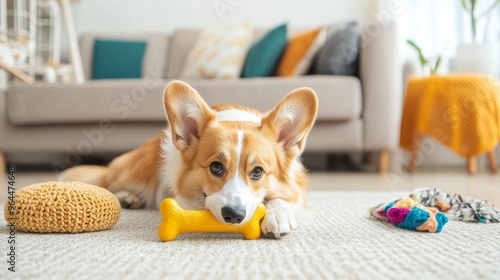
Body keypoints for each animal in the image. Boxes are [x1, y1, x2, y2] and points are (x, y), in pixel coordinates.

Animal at [61, 80, 316, 237]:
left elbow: (280, 198)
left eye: (258, 172)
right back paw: (127, 196)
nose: (233, 216)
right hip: (134, 172)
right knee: (107, 182)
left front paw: (277, 215)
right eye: (216, 167)